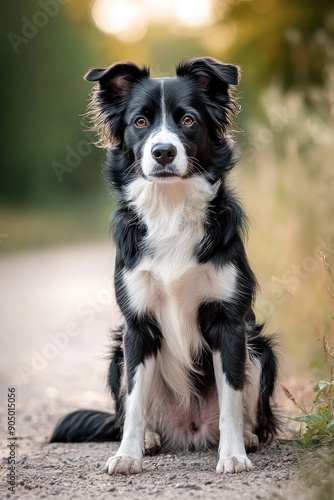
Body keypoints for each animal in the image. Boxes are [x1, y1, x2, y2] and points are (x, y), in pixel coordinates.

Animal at [49, 56, 280, 474]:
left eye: (188, 120)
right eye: (140, 121)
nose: (163, 152)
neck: (171, 206)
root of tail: (189, 429)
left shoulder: (229, 321)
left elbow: (232, 398)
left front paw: (233, 455)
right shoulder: (138, 324)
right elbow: (135, 402)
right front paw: (127, 456)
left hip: (257, 346)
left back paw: (248, 438)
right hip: (118, 355)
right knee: (129, 408)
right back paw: (150, 439)